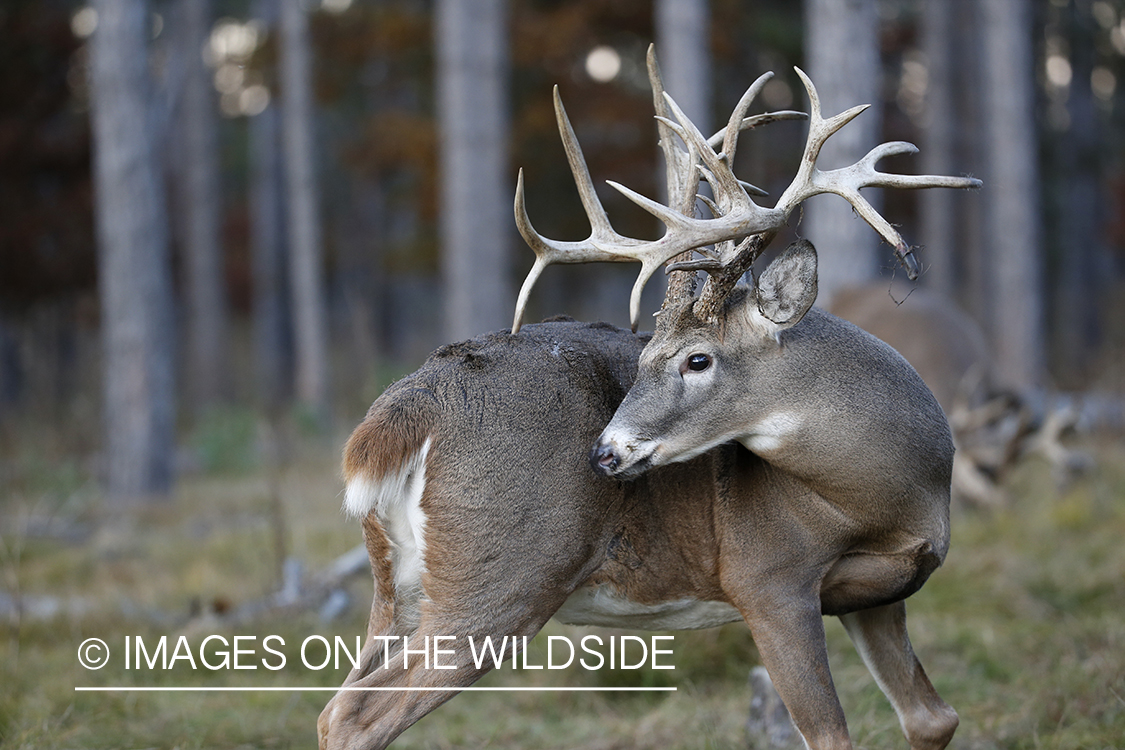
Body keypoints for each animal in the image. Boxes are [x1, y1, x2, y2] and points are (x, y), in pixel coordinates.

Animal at [317, 46, 976, 750]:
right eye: (644, 356)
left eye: (696, 358)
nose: (604, 453)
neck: (893, 496)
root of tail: (412, 406)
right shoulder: (769, 580)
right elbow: (829, 736)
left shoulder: (883, 594)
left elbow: (932, 718)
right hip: (499, 578)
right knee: (358, 717)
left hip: (396, 591)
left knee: (337, 706)